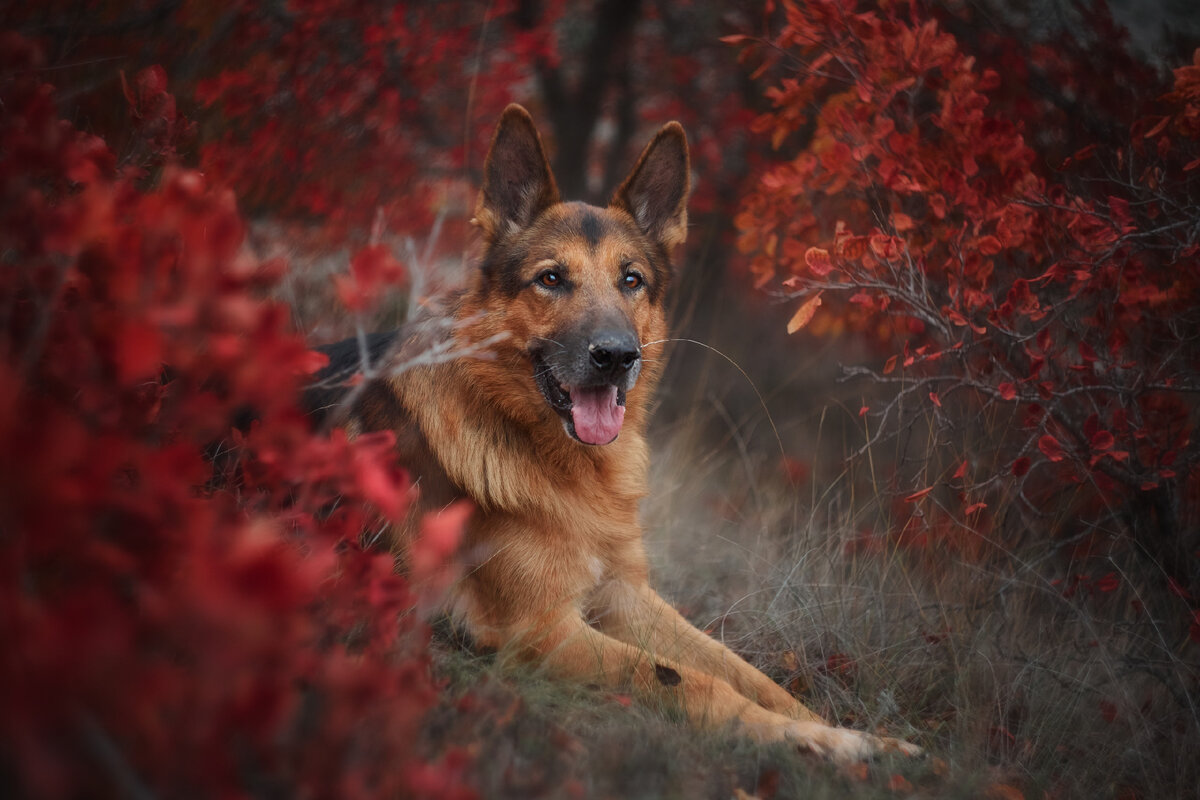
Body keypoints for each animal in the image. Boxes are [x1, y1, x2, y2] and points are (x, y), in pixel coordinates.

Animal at [314, 106, 921, 762]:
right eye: (551, 279)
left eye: (632, 281)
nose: (616, 356)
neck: (563, 466)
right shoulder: (540, 630)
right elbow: (692, 682)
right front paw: (815, 740)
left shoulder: (626, 595)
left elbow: (743, 670)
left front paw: (855, 736)